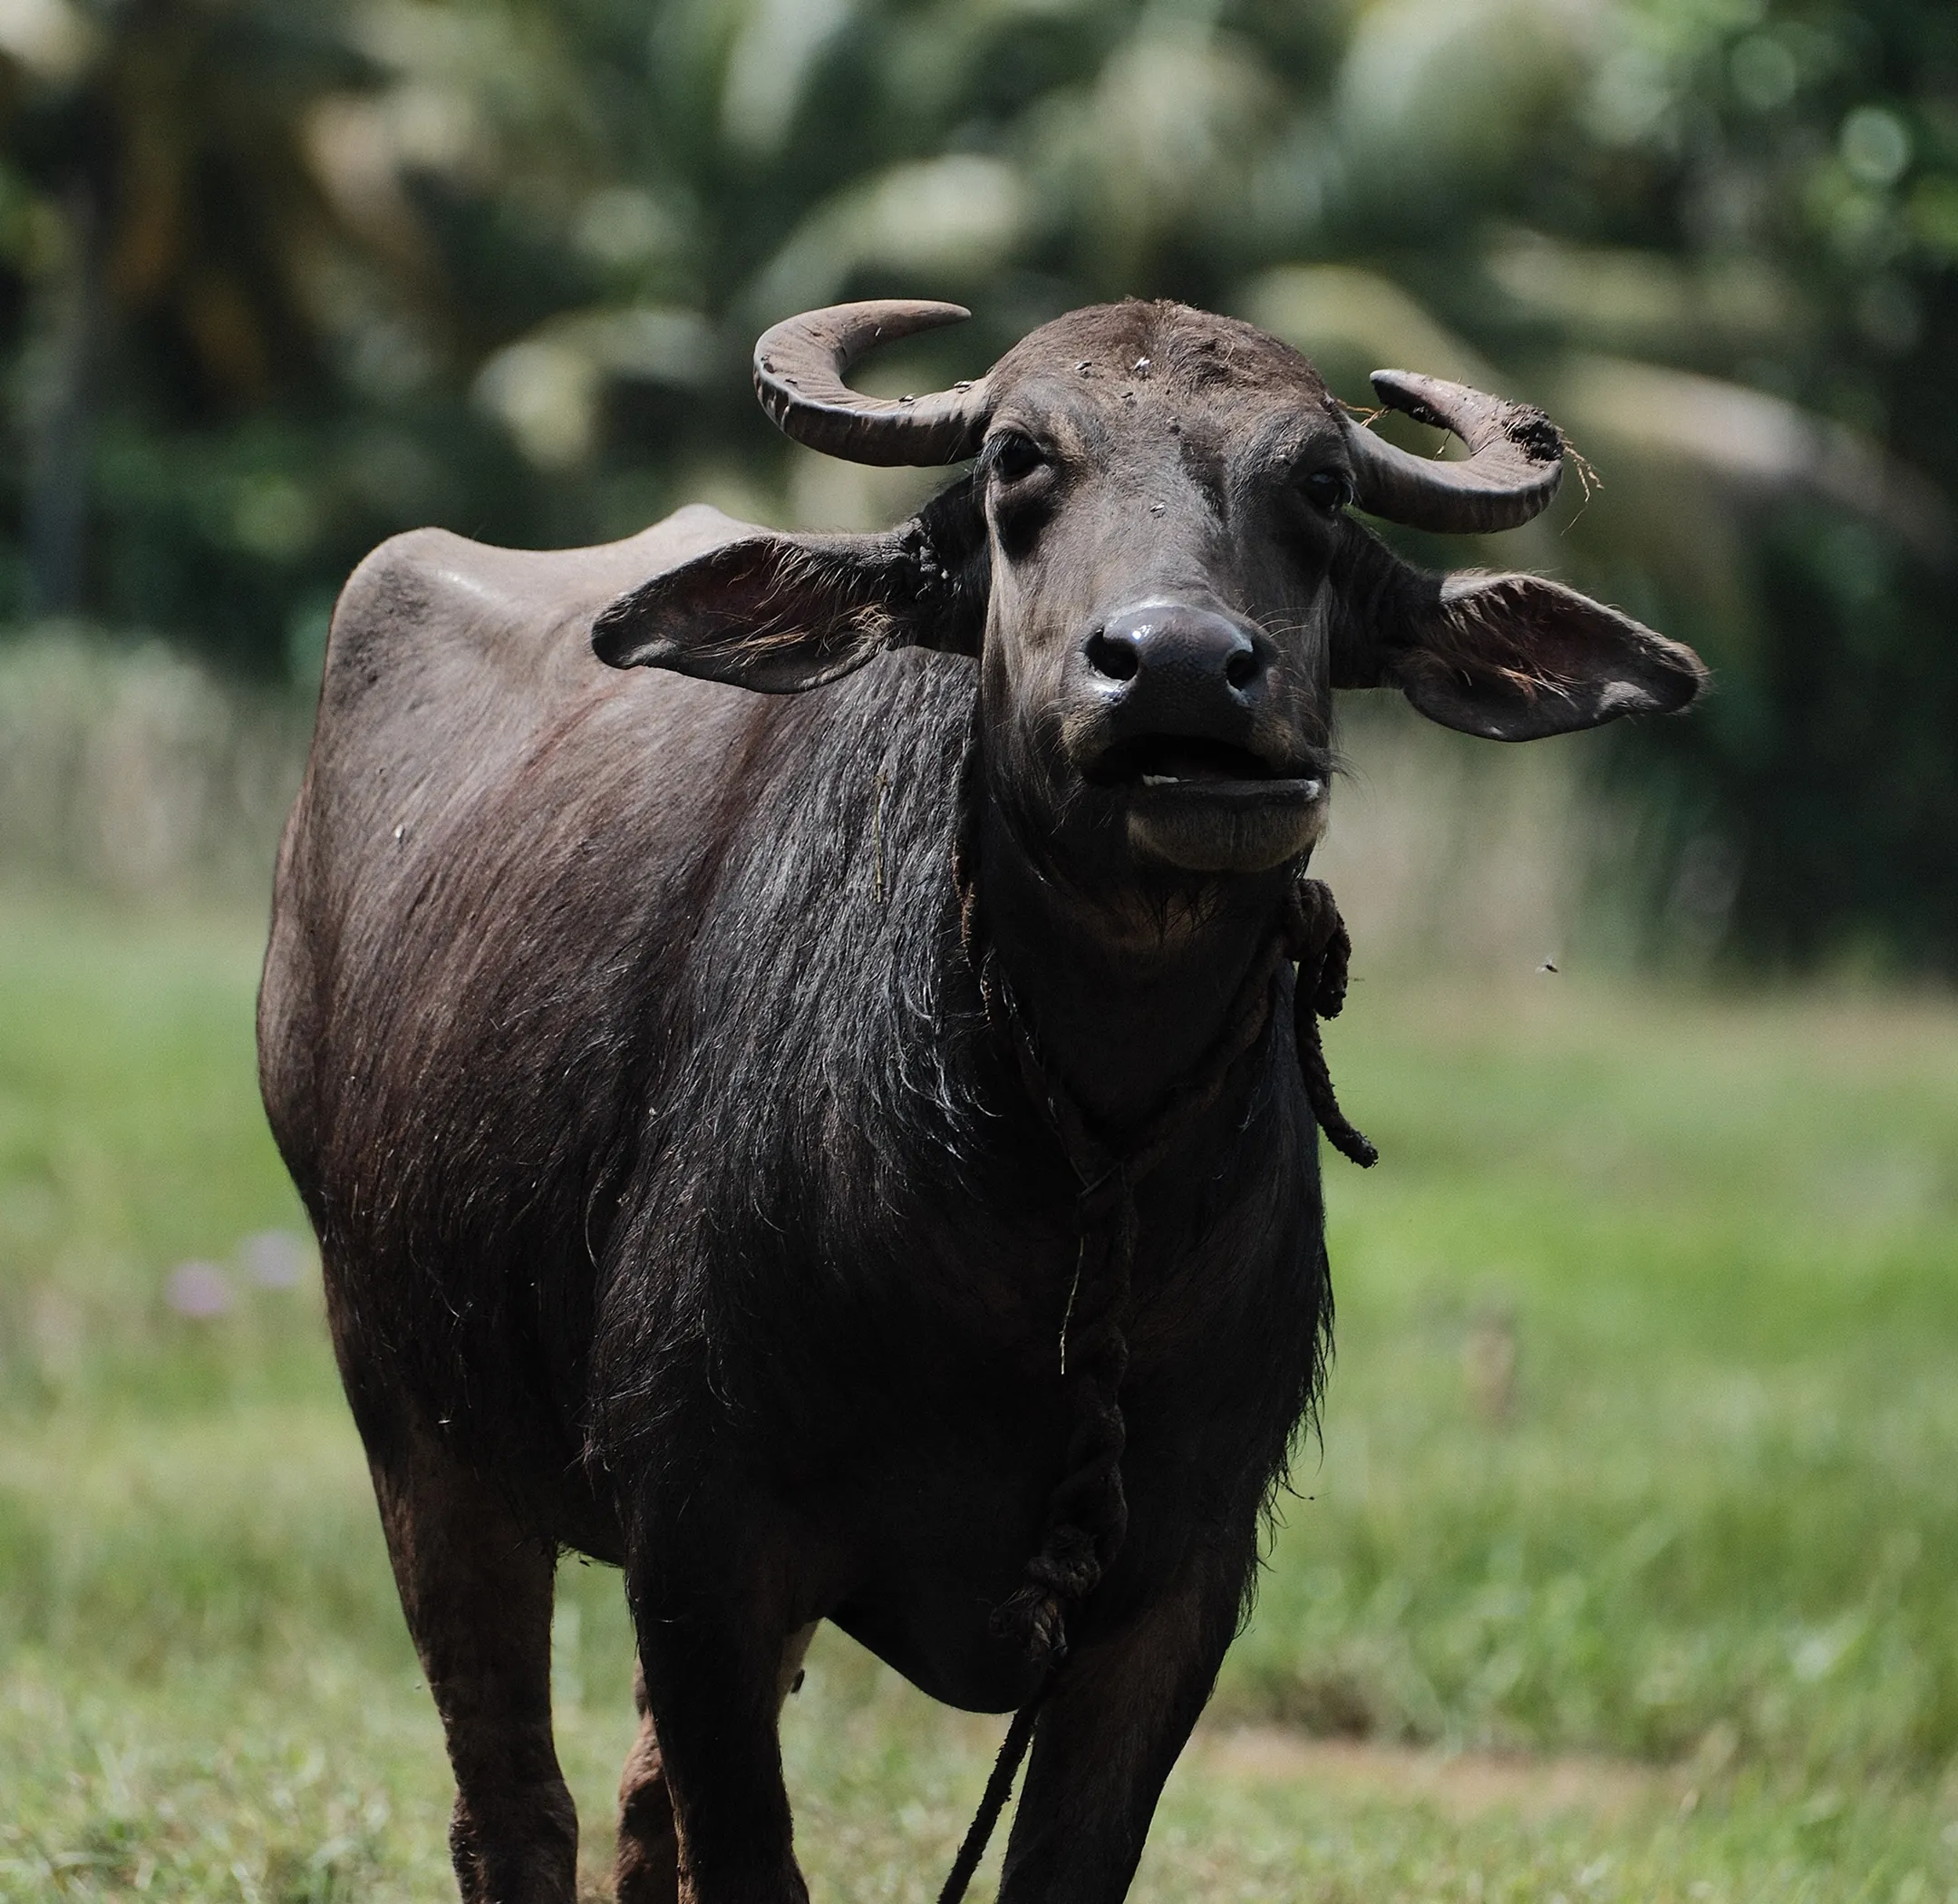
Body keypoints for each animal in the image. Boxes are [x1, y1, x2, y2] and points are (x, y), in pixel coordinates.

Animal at [258, 297, 1703, 1904]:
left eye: (1323, 484)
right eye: (1019, 461)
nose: (1180, 667)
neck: (1058, 1196)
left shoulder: (1178, 1587)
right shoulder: (702, 1540)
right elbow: (744, 1853)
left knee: (637, 1812)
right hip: (411, 1412)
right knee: (515, 1806)